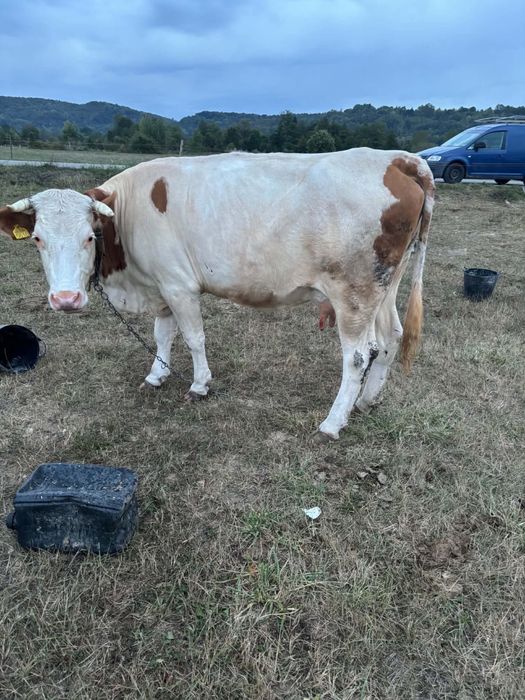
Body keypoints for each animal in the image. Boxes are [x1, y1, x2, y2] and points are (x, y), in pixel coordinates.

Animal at [0, 148, 434, 439]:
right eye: (37, 239)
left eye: (89, 236)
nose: (66, 300)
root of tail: (395, 159)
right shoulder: (161, 285)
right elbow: (162, 335)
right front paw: (156, 375)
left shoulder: (179, 285)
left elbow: (193, 338)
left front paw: (199, 385)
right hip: (383, 288)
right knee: (390, 338)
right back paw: (366, 401)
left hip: (353, 292)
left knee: (359, 355)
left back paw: (333, 422)